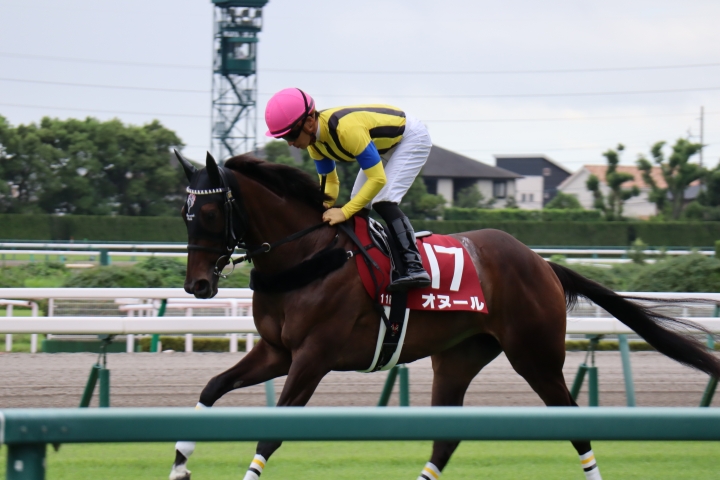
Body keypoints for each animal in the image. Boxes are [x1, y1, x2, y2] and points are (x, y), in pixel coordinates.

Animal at [169, 151, 720, 480]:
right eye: (183, 213)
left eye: (212, 213)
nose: (197, 286)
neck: (308, 256)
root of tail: (541, 261)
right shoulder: (276, 352)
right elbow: (210, 389)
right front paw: (179, 465)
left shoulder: (312, 357)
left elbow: (272, 430)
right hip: (457, 357)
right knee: (446, 437)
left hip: (535, 355)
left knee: (575, 424)